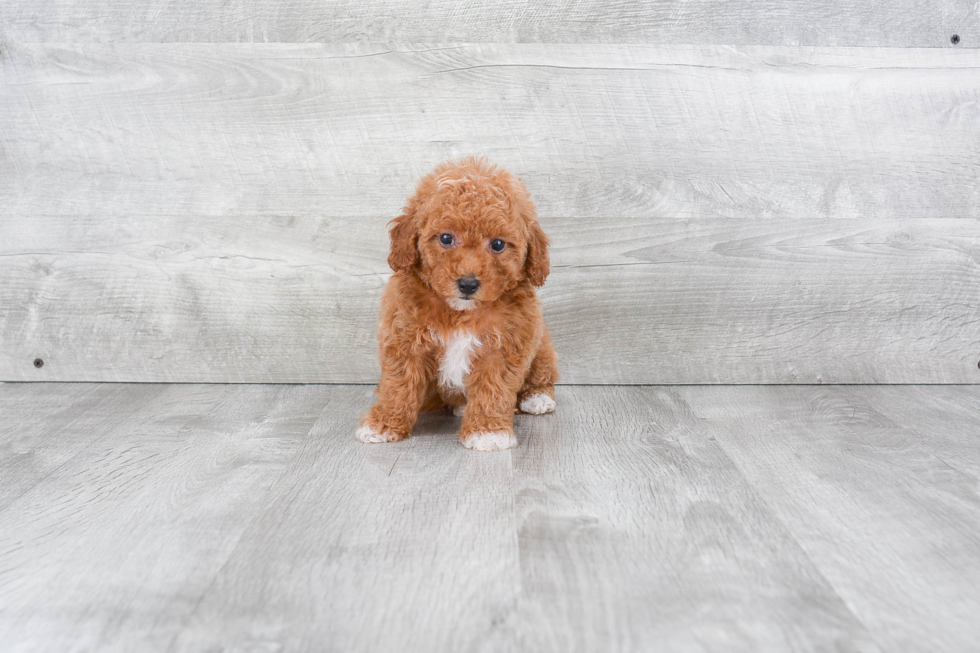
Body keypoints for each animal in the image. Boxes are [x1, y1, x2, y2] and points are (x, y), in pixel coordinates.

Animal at [354, 154, 560, 448]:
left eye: (498, 244)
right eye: (446, 238)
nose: (468, 284)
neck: (461, 312)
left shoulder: (506, 344)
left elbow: (493, 389)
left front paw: (487, 431)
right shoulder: (405, 339)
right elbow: (398, 386)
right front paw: (383, 423)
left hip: (542, 345)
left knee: (543, 373)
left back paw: (537, 398)